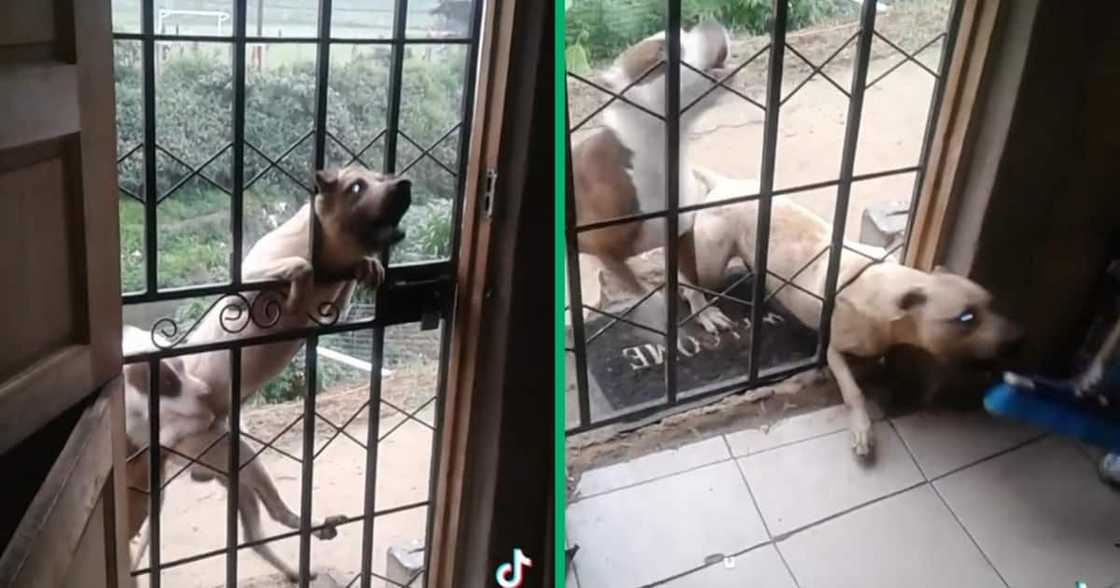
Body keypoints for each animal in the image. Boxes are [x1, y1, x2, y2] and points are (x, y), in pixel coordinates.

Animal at [124, 164, 412, 577]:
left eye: (381, 174)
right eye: (357, 186)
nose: (405, 184)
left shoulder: (328, 309)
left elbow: (343, 278)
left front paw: (369, 266)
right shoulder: (248, 285)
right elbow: (300, 267)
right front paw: (296, 290)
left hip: (237, 467)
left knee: (257, 532)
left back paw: (305, 551)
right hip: (235, 454)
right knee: (263, 523)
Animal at [577, 21, 743, 333]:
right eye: (661, 56)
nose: (710, 23)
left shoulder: (681, 234)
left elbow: (691, 280)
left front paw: (704, 312)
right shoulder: (605, 251)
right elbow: (646, 295)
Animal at [689, 166, 1025, 456]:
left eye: (991, 302)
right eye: (965, 318)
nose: (1018, 339)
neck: (887, 289)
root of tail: (725, 183)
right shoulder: (834, 350)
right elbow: (853, 391)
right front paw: (863, 431)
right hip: (709, 263)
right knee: (688, 284)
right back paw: (705, 312)